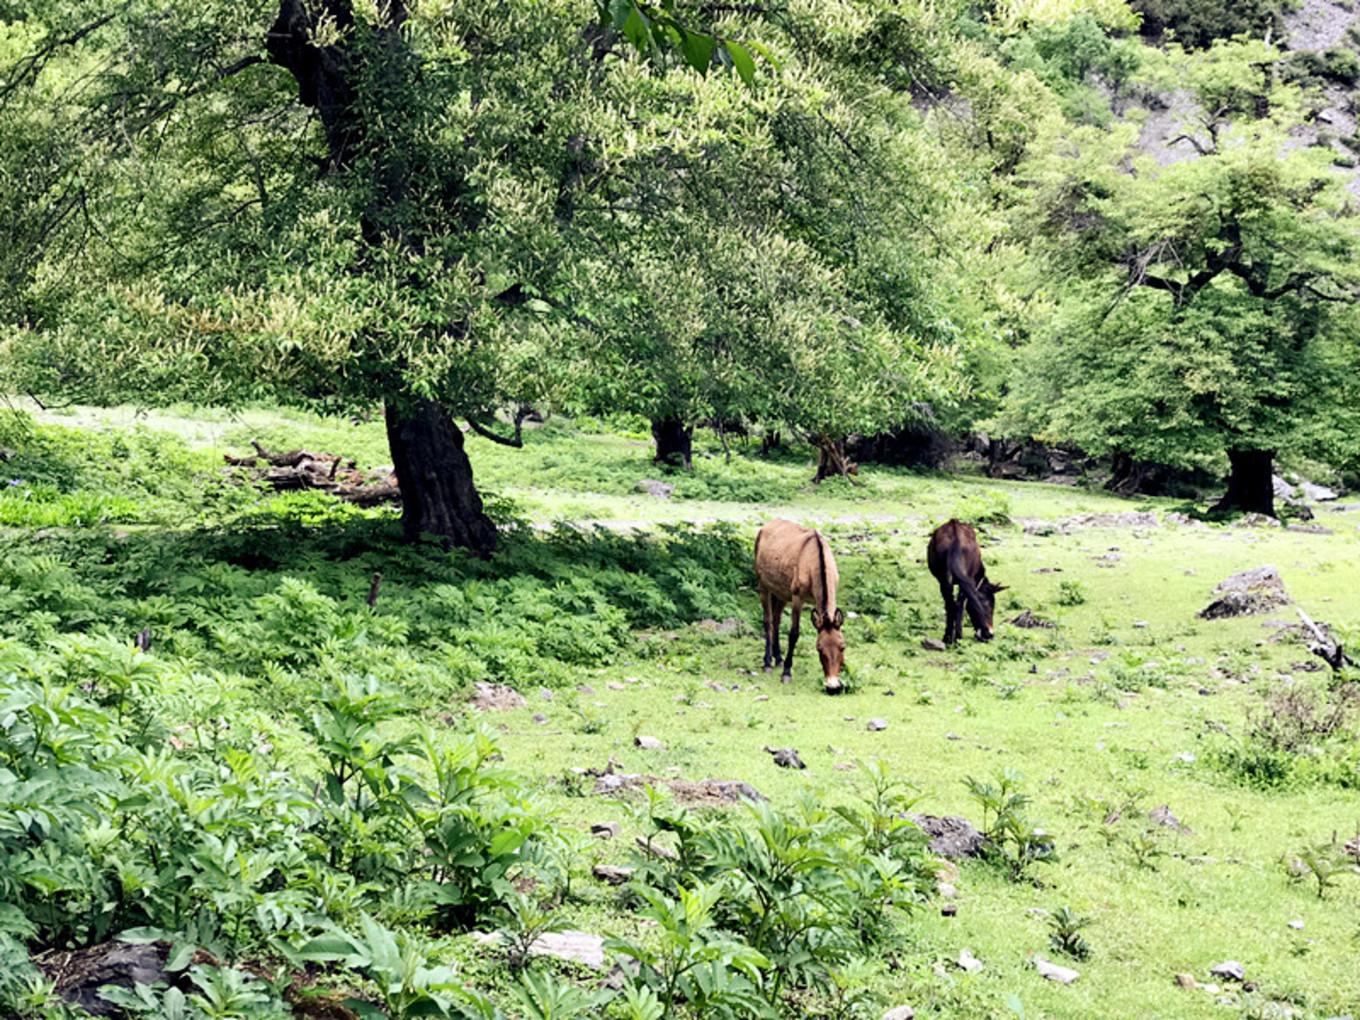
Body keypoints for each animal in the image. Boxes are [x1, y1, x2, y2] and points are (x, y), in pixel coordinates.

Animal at [750, 519, 843, 696]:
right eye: (819, 648)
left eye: (842, 647)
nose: (833, 687)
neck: (813, 561)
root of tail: (765, 527)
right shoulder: (797, 597)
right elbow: (794, 633)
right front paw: (786, 672)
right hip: (763, 586)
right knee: (767, 621)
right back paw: (768, 662)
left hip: (781, 593)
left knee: (776, 620)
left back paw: (778, 658)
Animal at [930, 519, 1006, 647]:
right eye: (991, 604)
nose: (989, 635)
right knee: (958, 604)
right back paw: (957, 638)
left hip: (945, 580)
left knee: (952, 604)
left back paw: (949, 638)